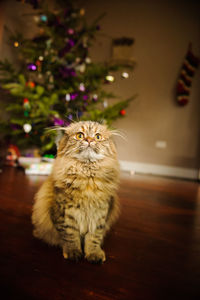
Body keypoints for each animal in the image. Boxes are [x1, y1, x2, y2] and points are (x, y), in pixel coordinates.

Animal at [31, 120, 119, 264]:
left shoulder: (100, 214)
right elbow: (70, 236)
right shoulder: (64, 213)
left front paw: (93, 254)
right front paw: (73, 252)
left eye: (98, 136)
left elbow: (94, 237)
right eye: (80, 135)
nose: (89, 140)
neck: (87, 178)